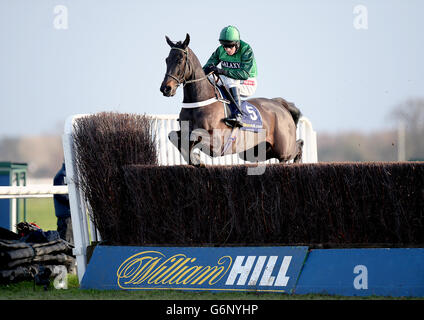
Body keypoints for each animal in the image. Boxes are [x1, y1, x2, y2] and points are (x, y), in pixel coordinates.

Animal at [158, 33, 302, 166]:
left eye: (180, 60)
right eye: (166, 60)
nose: (166, 88)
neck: (199, 101)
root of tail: (280, 105)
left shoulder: (217, 143)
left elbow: (193, 135)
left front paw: (196, 158)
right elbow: (173, 135)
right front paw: (195, 159)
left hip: (283, 149)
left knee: (297, 146)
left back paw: (298, 161)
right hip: (255, 152)